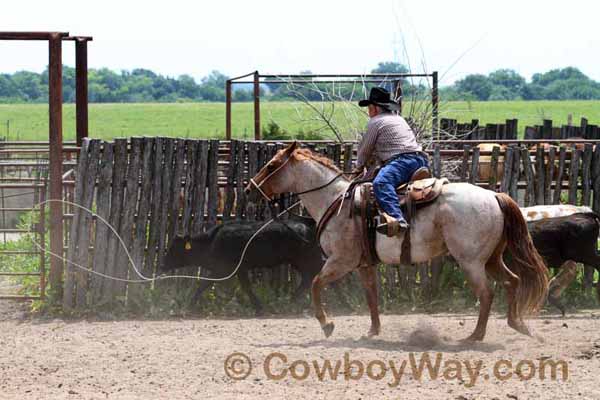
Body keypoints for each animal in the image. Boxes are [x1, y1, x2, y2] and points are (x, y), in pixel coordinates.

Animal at [159, 214, 338, 314]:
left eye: (173, 249)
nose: (162, 265)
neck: (211, 241)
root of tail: (309, 224)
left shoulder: (224, 269)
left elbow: (204, 284)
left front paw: (190, 304)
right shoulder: (240, 270)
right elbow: (246, 286)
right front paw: (258, 306)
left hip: (307, 258)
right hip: (300, 262)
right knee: (310, 278)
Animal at [244, 142, 548, 342]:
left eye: (272, 165)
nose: (249, 189)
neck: (336, 201)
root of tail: (494, 195)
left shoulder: (341, 261)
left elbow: (316, 285)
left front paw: (327, 324)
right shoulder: (364, 264)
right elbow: (371, 296)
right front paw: (372, 331)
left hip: (471, 262)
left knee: (486, 293)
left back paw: (475, 336)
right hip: (491, 258)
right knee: (512, 281)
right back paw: (518, 325)